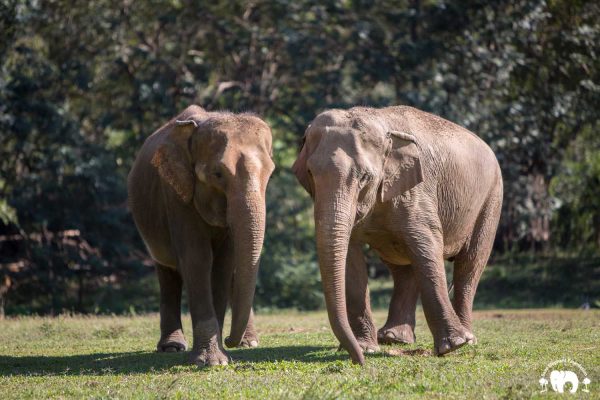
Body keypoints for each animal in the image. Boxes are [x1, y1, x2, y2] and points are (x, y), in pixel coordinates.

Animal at [130, 105, 276, 366]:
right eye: (217, 174)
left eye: (270, 174)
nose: (229, 339)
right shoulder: (176, 194)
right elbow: (197, 258)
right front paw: (211, 361)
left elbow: (223, 263)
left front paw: (220, 356)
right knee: (167, 273)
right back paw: (172, 347)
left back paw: (249, 343)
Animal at [292, 104, 504, 364]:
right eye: (310, 173)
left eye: (365, 177)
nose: (358, 361)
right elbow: (351, 260)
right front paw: (367, 348)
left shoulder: (417, 192)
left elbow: (427, 248)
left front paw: (452, 346)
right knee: (404, 269)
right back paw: (394, 338)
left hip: (491, 199)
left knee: (470, 264)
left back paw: (467, 340)